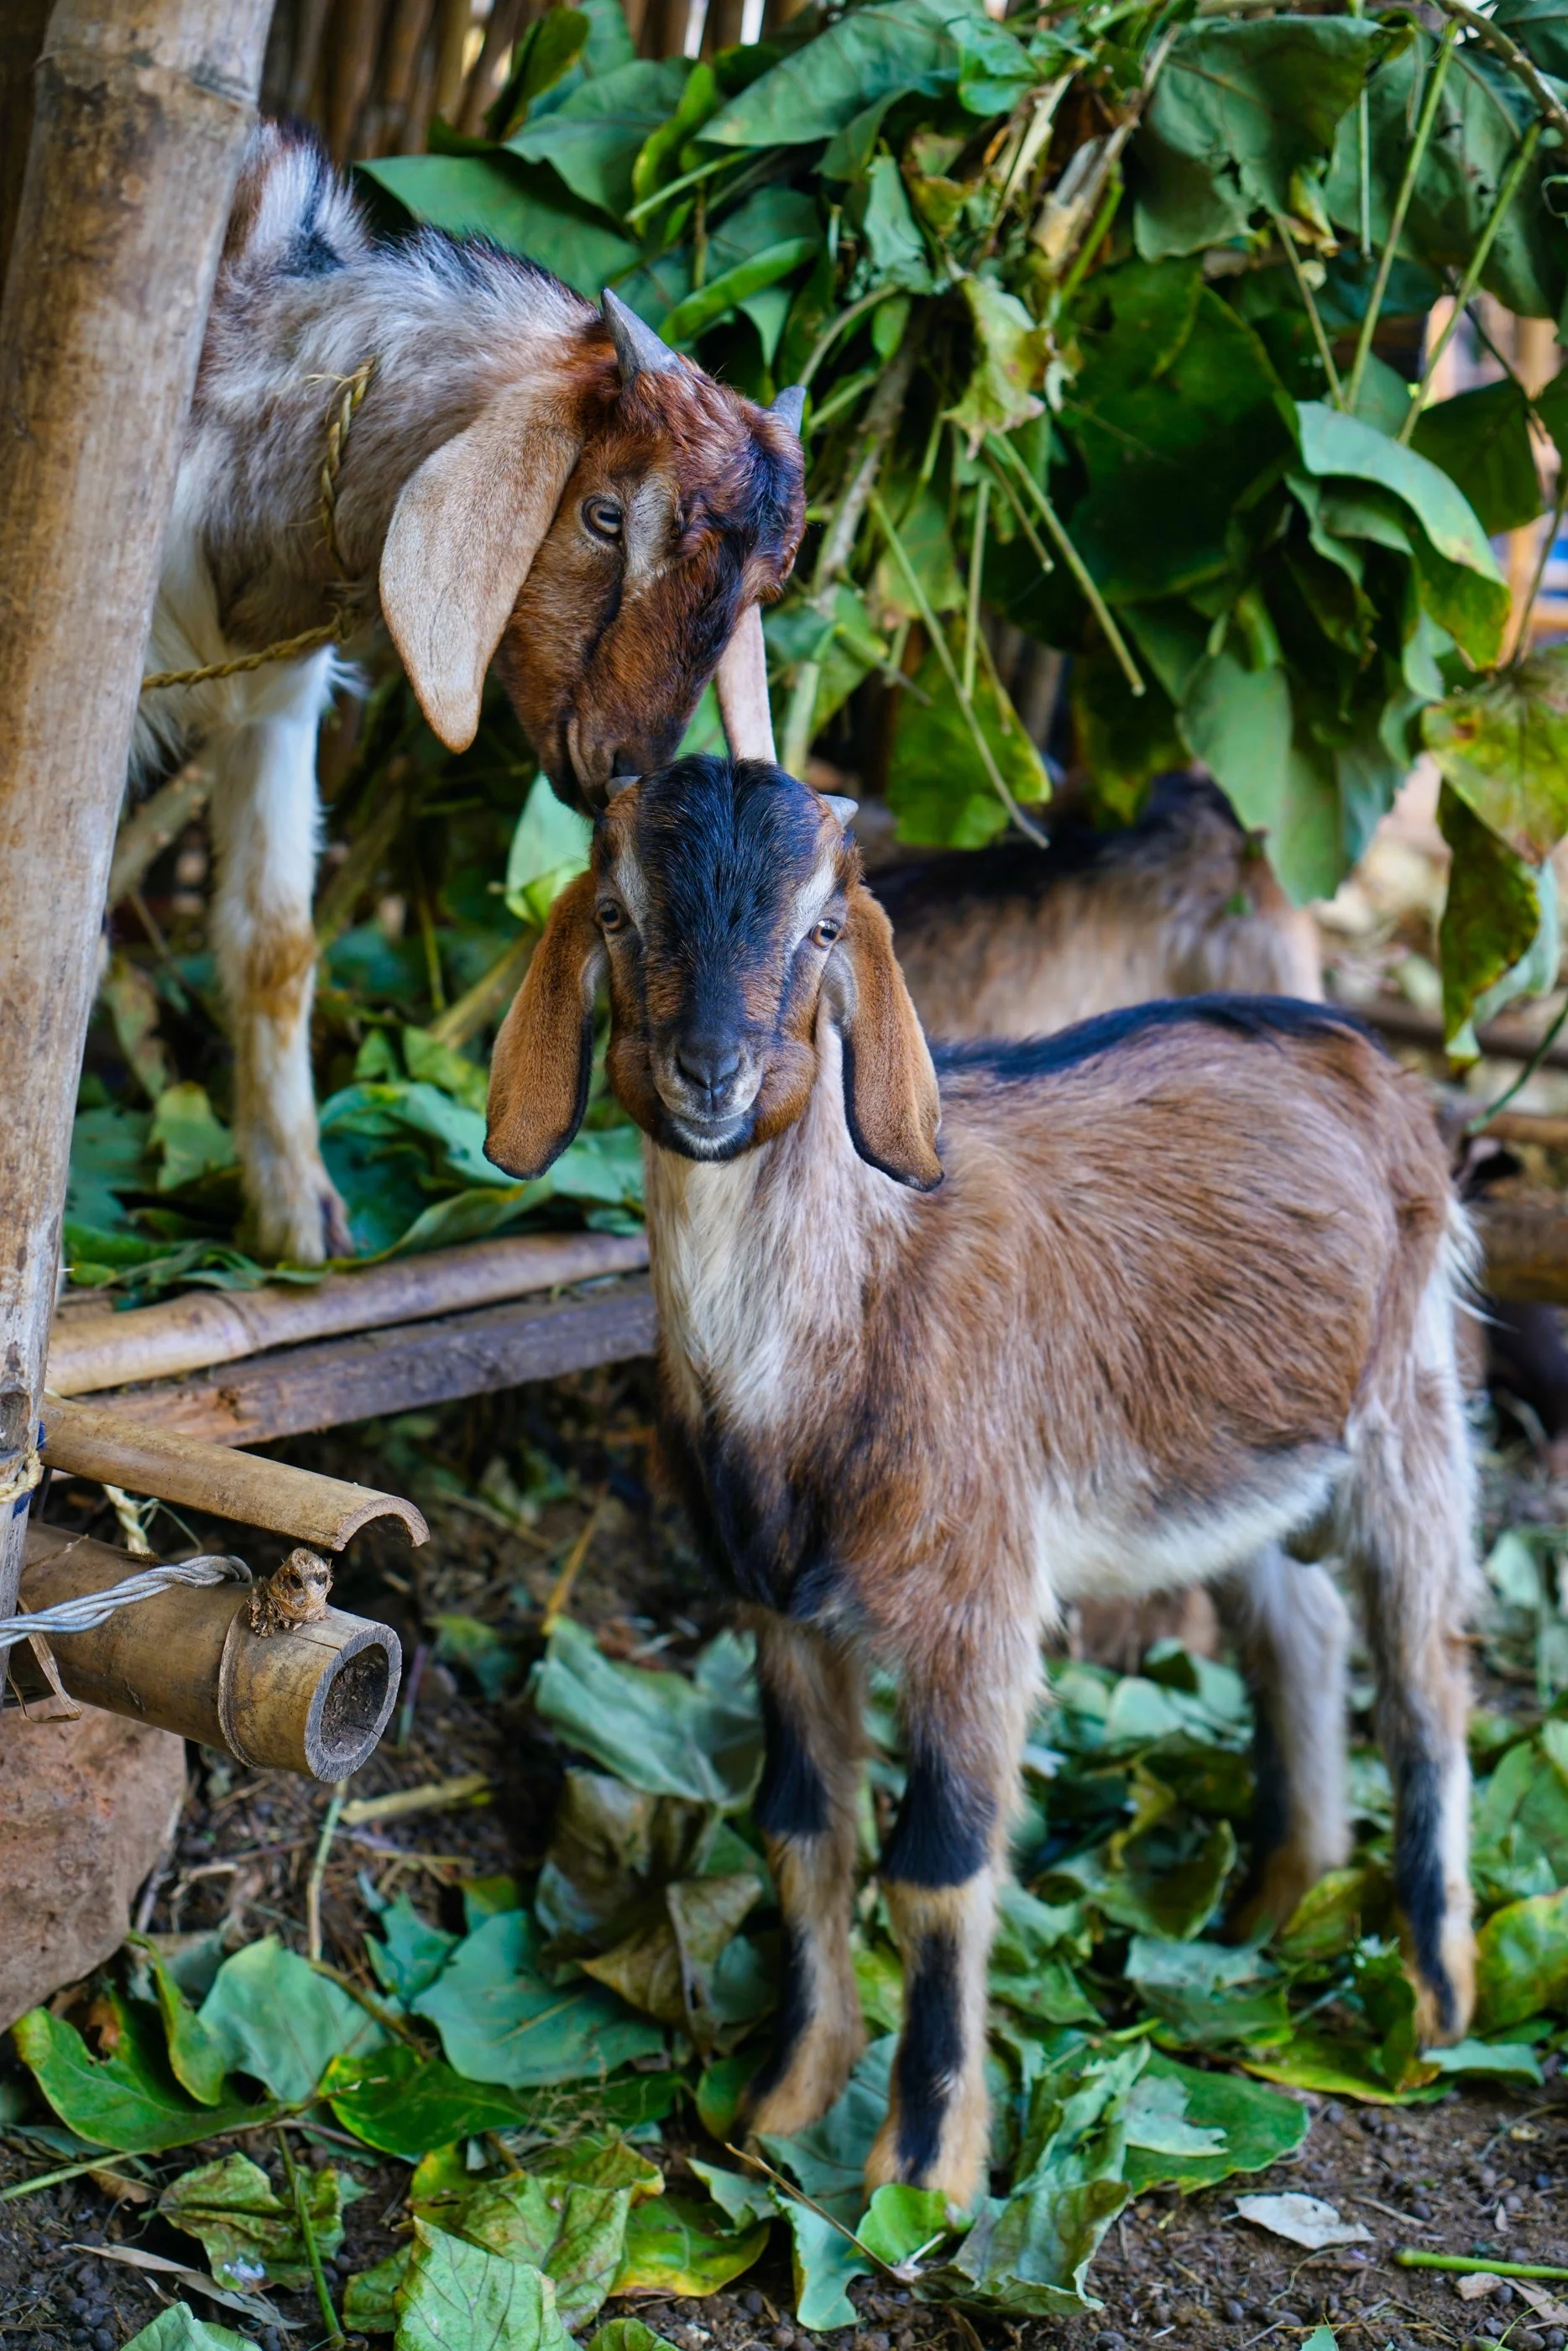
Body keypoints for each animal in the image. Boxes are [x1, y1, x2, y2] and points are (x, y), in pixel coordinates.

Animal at [135, 122, 803, 1264]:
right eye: (603, 516)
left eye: (755, 592)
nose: (625, 763)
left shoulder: (275, 701)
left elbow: (275, 945)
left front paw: (301, 1215)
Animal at [485, 754, 1478, 2209]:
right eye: (616, 913)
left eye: (822, 929)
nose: (712, 1074)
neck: (841, 1342)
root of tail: (1361, 1051)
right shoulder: (778, 1609)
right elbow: (802, 1830)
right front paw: (785, 2099)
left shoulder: (976, 1610)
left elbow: (938, 1870)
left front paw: (923, 2170)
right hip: (1227, 1463)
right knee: (1299, 1629)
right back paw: (1274, 1905)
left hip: (1410, 1401)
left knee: (1425, 1679)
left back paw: (1437, 1997)